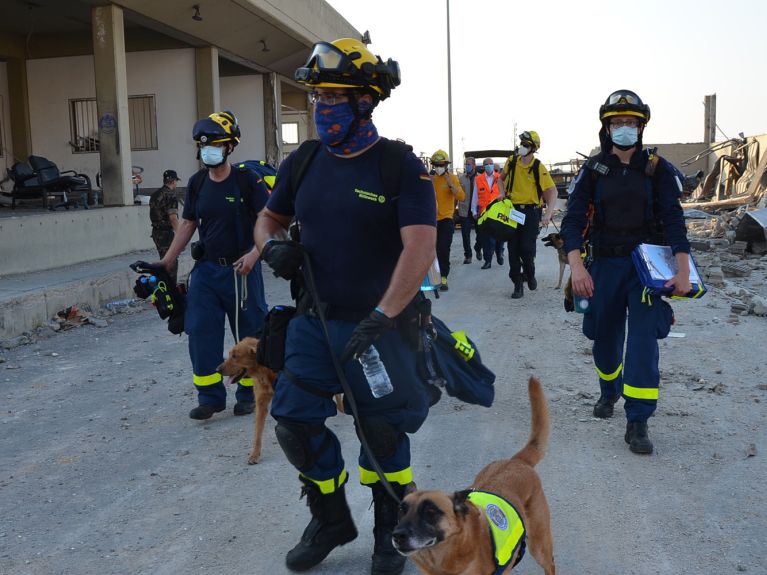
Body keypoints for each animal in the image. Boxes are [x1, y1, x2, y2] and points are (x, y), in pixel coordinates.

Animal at [218, 340, 346, 466]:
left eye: (235, 356)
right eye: (229, 354)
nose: (217, 370)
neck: (265, 371)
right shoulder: (261, 404)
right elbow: (257, 433)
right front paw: (254, 454)